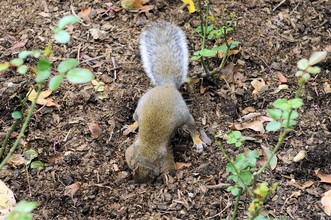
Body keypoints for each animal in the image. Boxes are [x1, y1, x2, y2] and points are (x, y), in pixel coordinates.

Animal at [124, 21, 205, 182]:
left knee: (192, 126)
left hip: (183, 115)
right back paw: (131, 126)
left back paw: (197, 141)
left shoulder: (163, 155)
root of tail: (167, 86)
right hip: (139, 107)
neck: (146, 152)